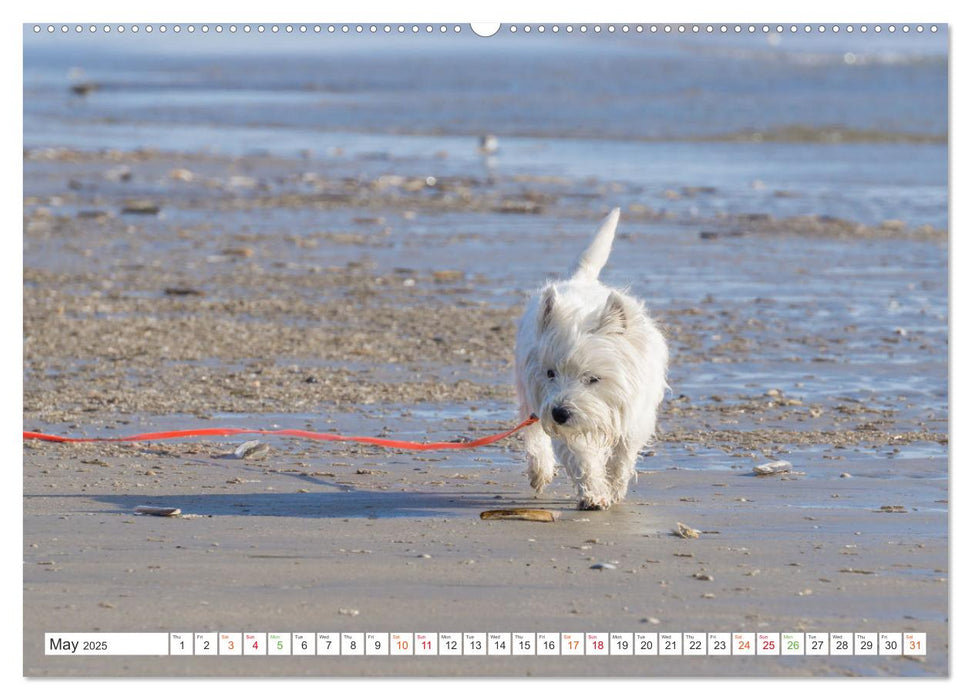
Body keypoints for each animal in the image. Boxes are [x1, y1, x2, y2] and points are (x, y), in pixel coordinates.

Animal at [516, 208, 668, 508]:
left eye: (593, 378)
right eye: (550, 373)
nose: (560, 413)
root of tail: (580, 279)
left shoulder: (634, 417)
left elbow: (622, 455)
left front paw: (615, 487)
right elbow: (580, 457)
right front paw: (594, 494)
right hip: (528, 393)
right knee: (534, 432)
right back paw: (539, 471)